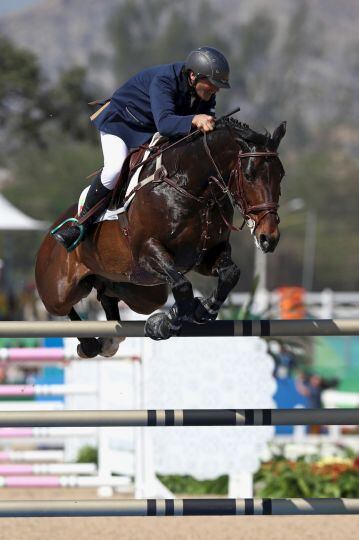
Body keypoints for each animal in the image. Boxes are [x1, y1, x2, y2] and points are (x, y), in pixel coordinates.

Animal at [33, 117, 286, 358]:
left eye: (281, 175)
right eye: (249, 175)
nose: (268, 237)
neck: (191, 188)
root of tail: (52, 231)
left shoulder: (207, 256)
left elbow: (230, 274)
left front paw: (202, 310)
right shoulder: (148, 252)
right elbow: (183, 286)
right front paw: (166, 323)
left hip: (142, 293)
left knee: (107, 296)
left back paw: (109, 341)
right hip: (59, 291)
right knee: (62, 308)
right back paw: (88, 343)